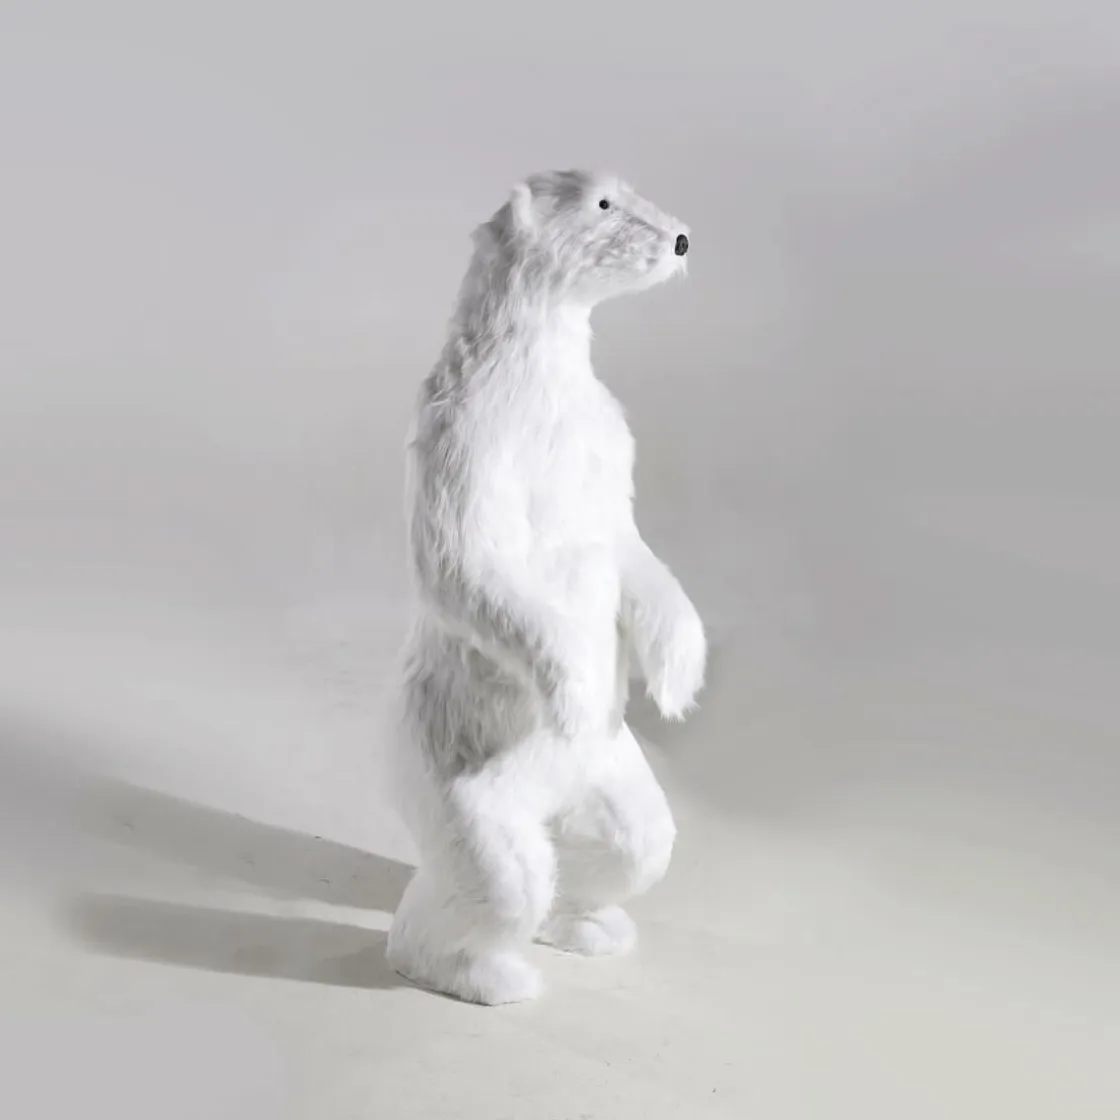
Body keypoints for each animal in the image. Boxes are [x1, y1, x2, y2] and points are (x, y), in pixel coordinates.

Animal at [385, 169, 706, 1005]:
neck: (536, 378)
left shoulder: (604, 436)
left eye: (631, 189)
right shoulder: (470, 435)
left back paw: (591, 926)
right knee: (498, 872)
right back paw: (483, 971)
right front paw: (573, 688)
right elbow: (466, 565)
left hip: (609, 770)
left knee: (633, 842)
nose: (682, 238)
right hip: (456, 768)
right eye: (603, 202)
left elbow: (629, 548)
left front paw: (678, 676)